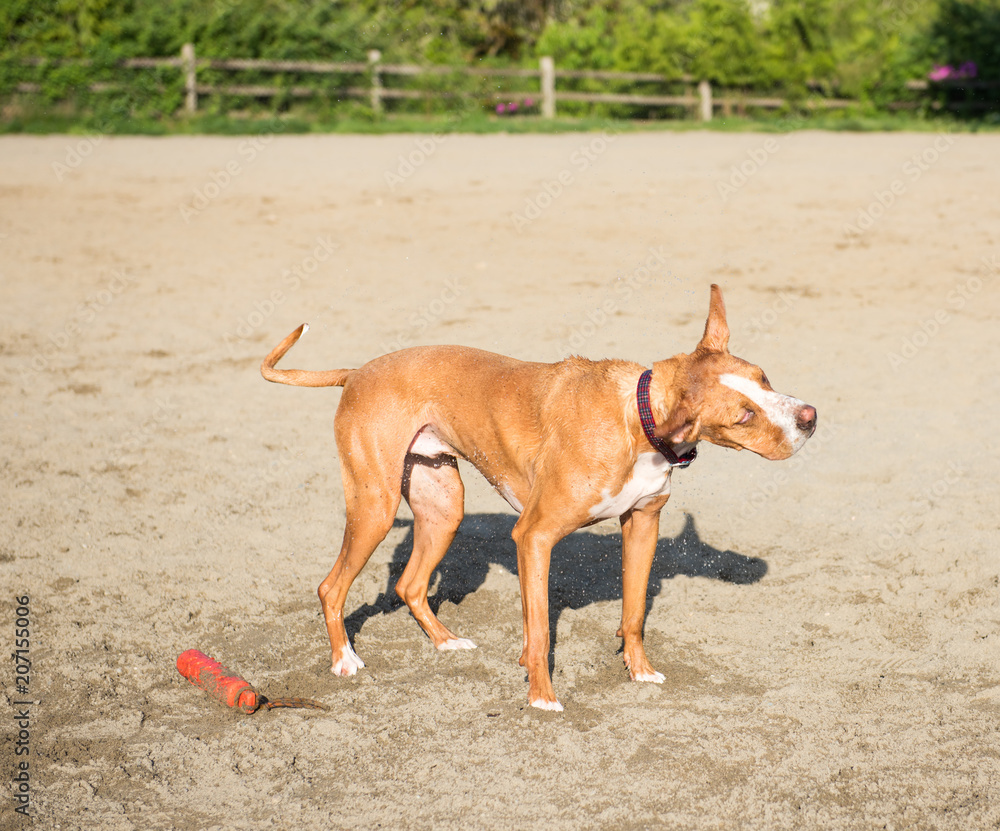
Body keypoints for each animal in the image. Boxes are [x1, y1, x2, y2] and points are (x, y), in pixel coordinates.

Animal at [261, 284, 816, 711]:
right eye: (743, 415)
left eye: (764, 378)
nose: (810, 417)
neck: (635, 417)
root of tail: (357, 372)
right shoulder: (533, 537)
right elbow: (540, 629)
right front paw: (542, 698)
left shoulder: (643, 524)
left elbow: (634, 613)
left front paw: (639, 672)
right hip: (374, 508)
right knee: (331, 588)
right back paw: (344, 660)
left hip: (443, 507)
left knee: (410, 585)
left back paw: (445, 641)